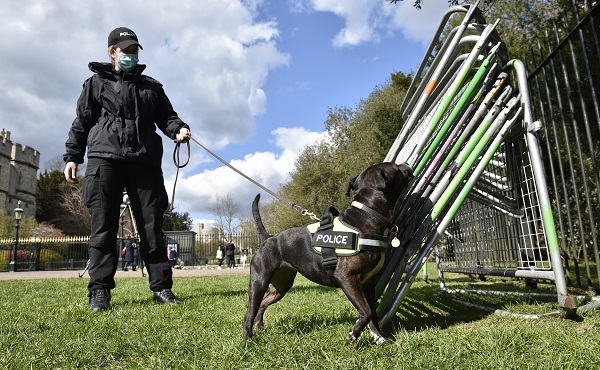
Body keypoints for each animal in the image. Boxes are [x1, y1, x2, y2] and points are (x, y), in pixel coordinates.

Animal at [243, 162, 412, 344]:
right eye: (396, 167)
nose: (406, 164)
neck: (368, 214)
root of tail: (270, 238)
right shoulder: (347, 278)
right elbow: (365, 312)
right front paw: (354, 334)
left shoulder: (368, 285)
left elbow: (372, 313)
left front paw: (378, 337)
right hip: (259, 282)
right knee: (249, 312)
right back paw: (249, 338)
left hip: (280, 287)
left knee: (262, 304)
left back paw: (259, 327)